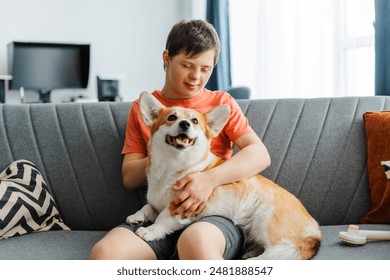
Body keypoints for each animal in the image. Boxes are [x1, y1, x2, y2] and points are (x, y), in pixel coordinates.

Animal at [126, 92, 322, 260]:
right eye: (172, 118)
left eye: (194, 121)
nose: (185, 124)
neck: (172, 165)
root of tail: (316, 233)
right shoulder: (157, 202)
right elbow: (148, 207)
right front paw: (137, 216)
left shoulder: (181, 206)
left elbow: (163, 218)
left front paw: (150, 230)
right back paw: (250, 253)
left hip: (264, 218)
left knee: (276, 250)